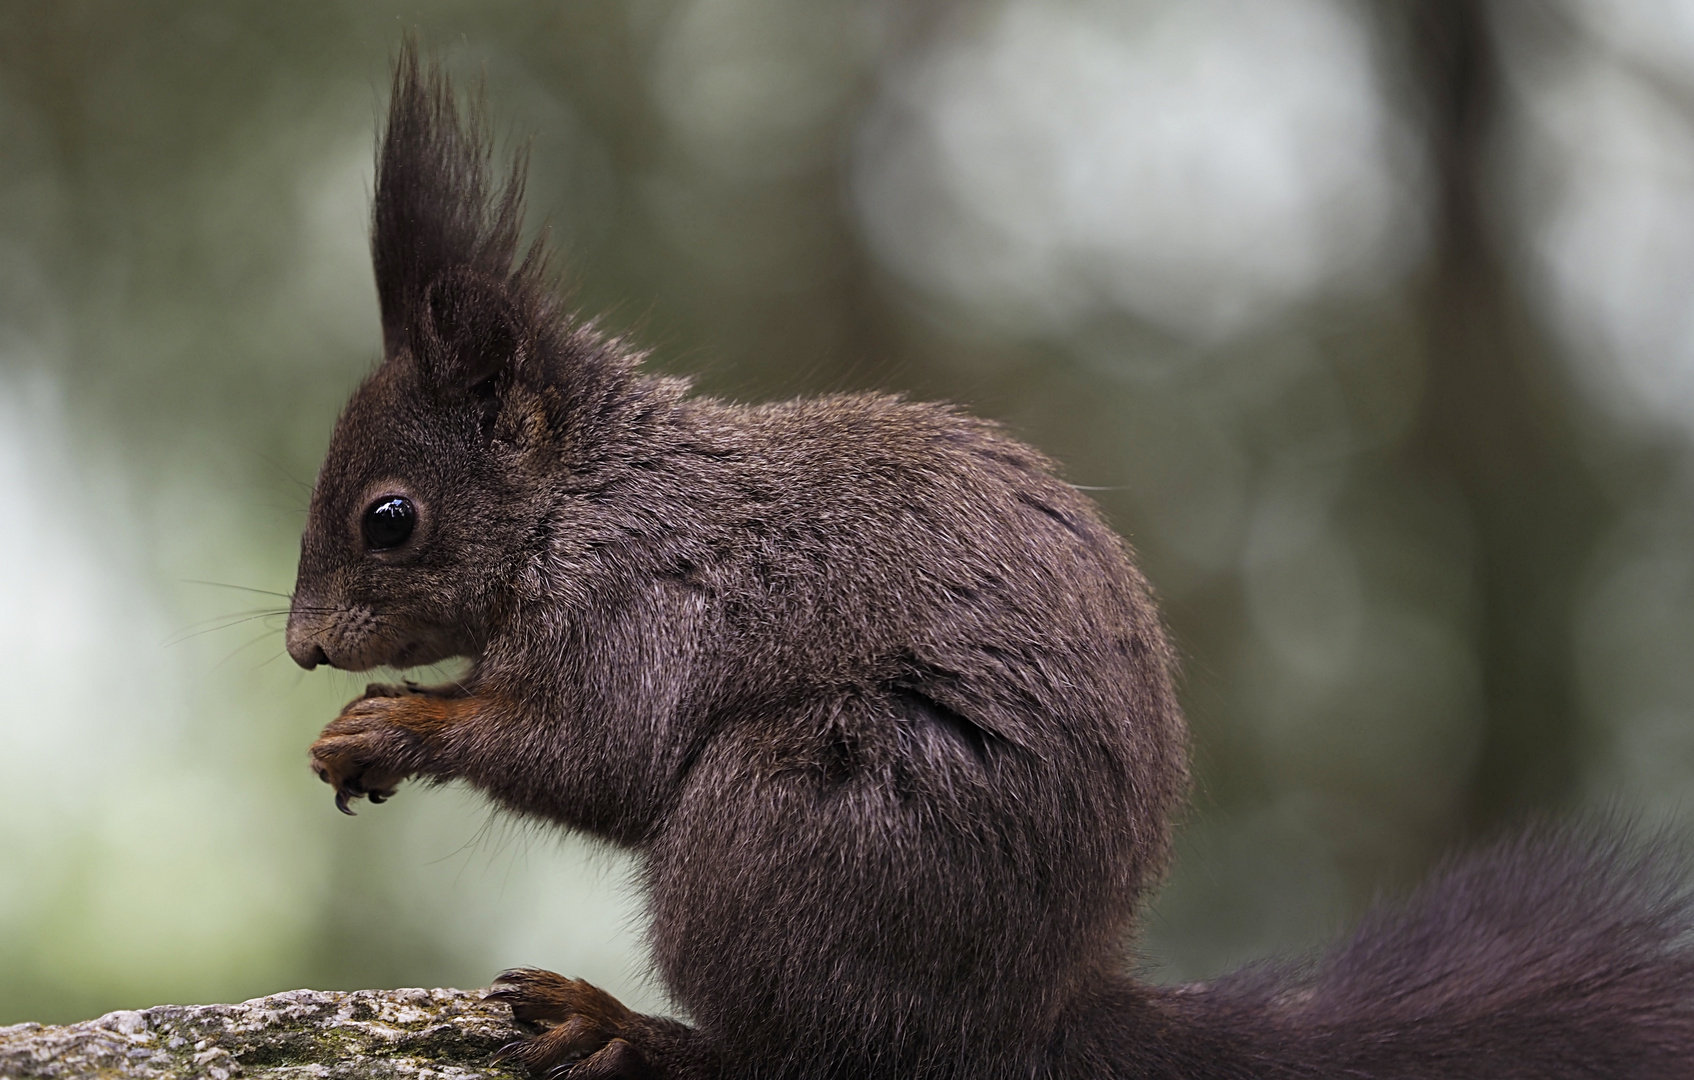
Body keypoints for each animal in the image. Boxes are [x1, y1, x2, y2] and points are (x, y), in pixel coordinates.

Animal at [284, 46, 1694, 1076]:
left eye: (389, 518)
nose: (301, 646)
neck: (581, 501)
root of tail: (1036, 1009)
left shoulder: (643, 604)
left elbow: (595, 752)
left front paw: (394, 725)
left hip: (791, 823)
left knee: (800, 1054)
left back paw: (625, 1028)